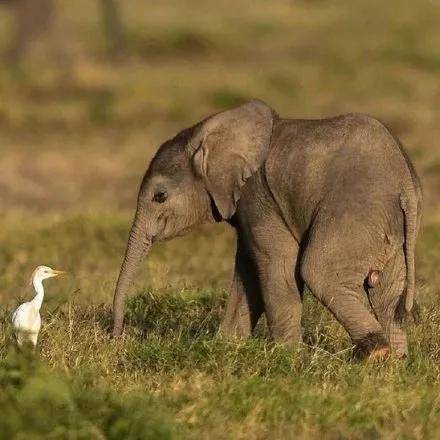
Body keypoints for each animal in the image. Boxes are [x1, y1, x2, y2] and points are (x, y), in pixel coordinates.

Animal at [111, 100, 422, 360]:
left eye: (160, 196)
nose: (117, 337)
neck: (207, 132)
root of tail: (405, 185)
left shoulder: (259, 196)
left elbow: (277, 266)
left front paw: (288, 358)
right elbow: (248, 271)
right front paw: (228, 347)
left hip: (356, 212)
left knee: (318, 271)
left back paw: (377, 354)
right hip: (388, 228)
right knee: (387, 294)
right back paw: (396, 363)